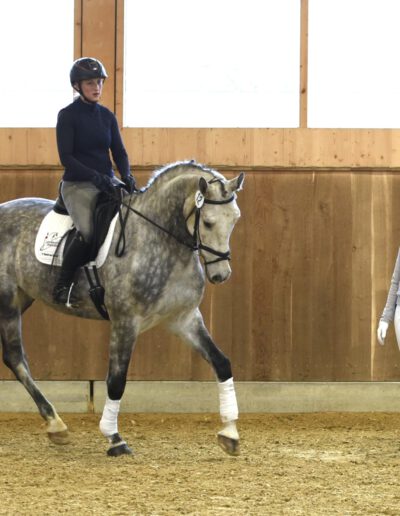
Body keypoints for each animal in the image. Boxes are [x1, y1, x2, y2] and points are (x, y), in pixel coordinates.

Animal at [0, 160, 244, 456]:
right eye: (208, 222)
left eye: (235, 219)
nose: (221, 275)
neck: (161, 240)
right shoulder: (125, 321)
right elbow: (116, 381)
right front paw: (114, 438)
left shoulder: (184, 318)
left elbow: (221, 363)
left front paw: (229, 433)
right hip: (7, 302)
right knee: (16, 358)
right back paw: (56, 423)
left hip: (20, 299)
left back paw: (55, 424)